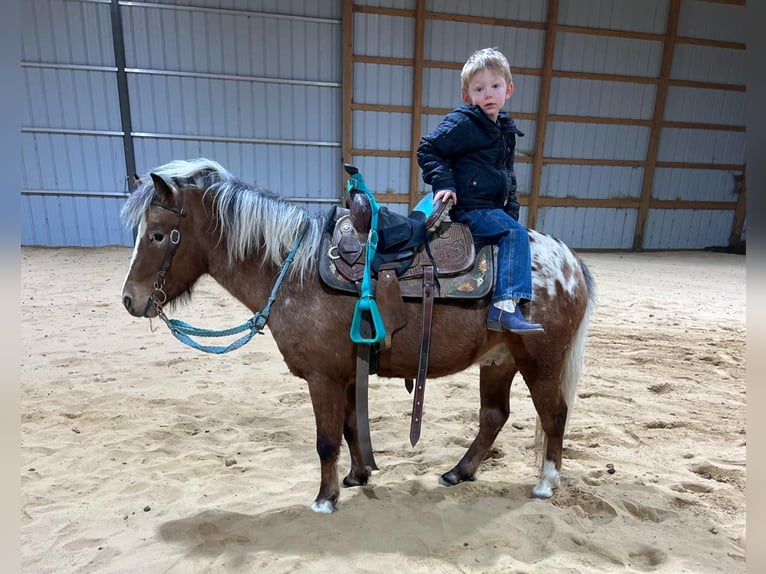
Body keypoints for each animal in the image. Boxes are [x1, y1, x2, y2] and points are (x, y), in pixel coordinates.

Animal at [121, 156, 600, 512]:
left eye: (159, 235)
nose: (130, 299)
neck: (293, 272)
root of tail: (569, 260)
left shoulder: (322, 378)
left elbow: (325, 440)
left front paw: (325, 498)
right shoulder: (347, 374)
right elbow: (351, 428)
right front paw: (357, 476)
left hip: (541, 362)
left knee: (554, 415)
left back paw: (546, 483)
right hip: (499, 361)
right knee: (494, 416)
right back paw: (459, 472)